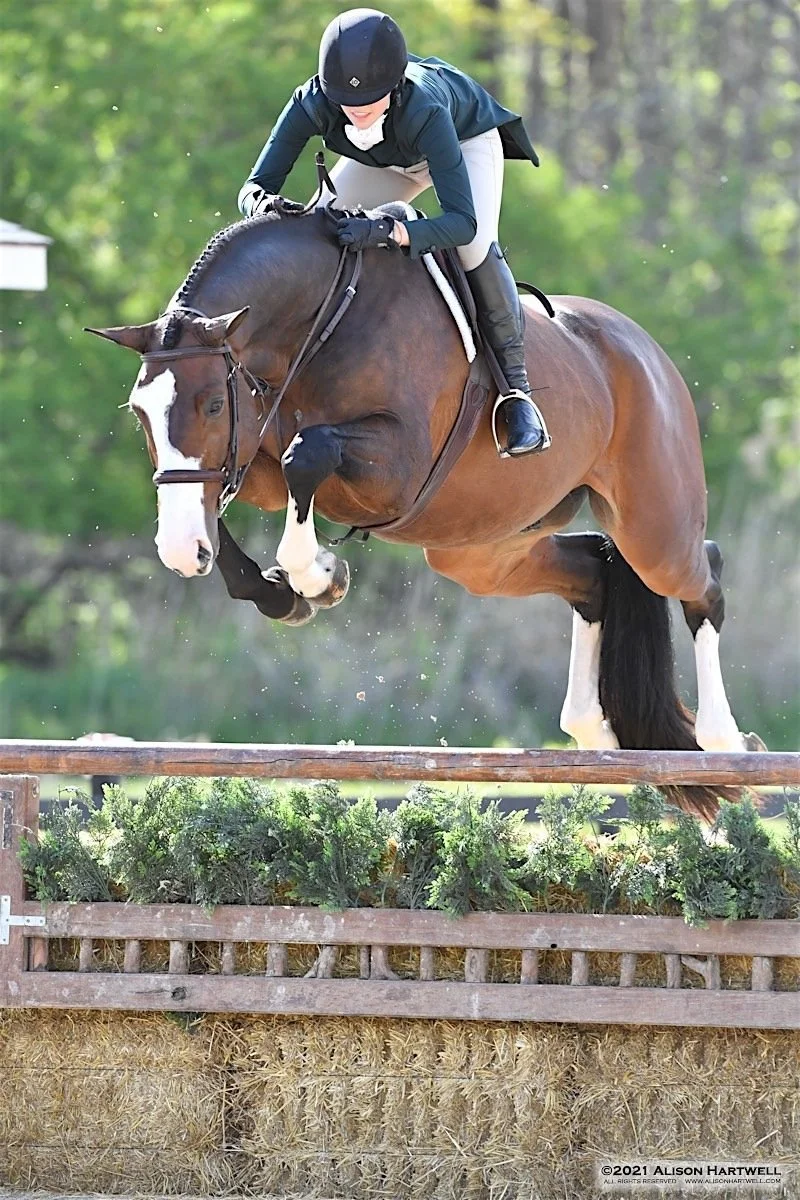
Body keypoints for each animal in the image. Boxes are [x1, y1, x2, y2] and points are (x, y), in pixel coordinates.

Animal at [87, 204, 762, 820]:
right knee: (592, 573)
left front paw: (317, 577)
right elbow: (221, 504)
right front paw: (280, 592)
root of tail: (645, 347)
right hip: (481, 548)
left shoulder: (395, 465)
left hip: (652, 526)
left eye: (208, 404)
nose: (178, 556)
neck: (319, 321)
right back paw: (592, 730)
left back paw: (724, 740)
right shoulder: (251, 462)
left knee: (701, 573)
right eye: (139, 412)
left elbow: (310, 453)